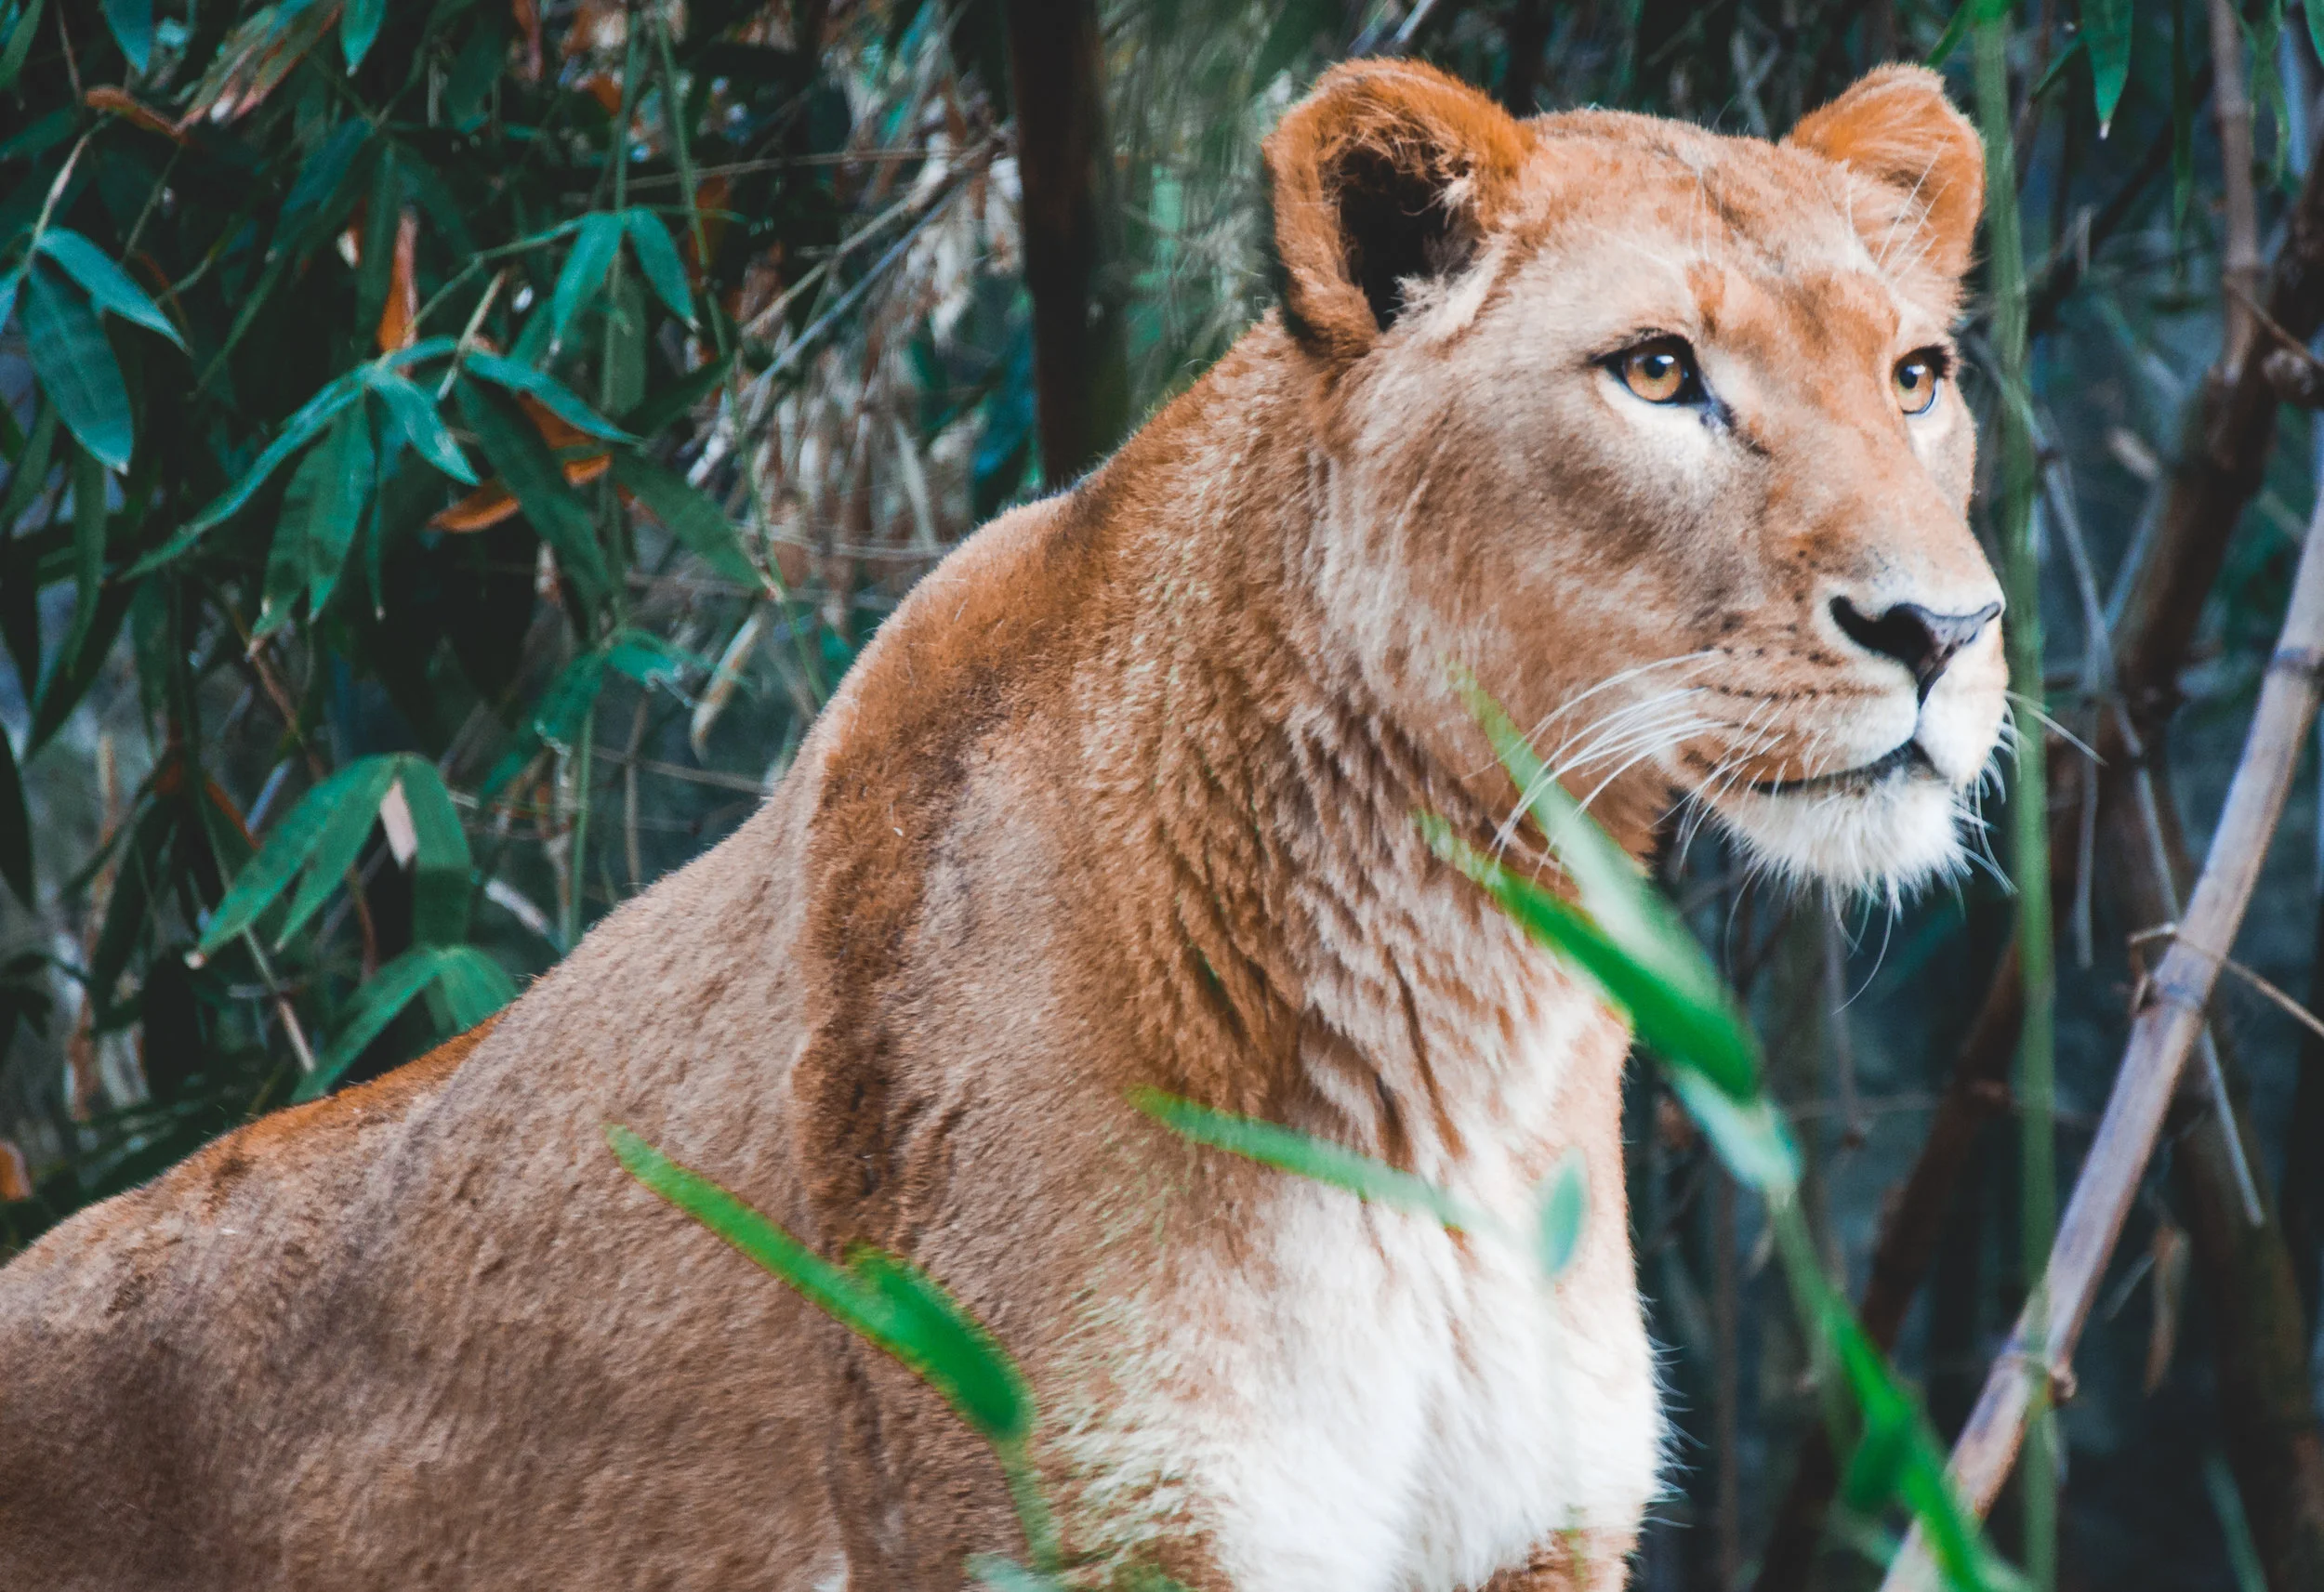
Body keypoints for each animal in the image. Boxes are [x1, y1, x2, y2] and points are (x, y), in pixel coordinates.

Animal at [0, 59, 2002, 1591]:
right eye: (1657, 372)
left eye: (1914, 376)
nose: (1944, 629)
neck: (1470, 989)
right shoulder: (1082, 1516)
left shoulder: (1534, 1529)